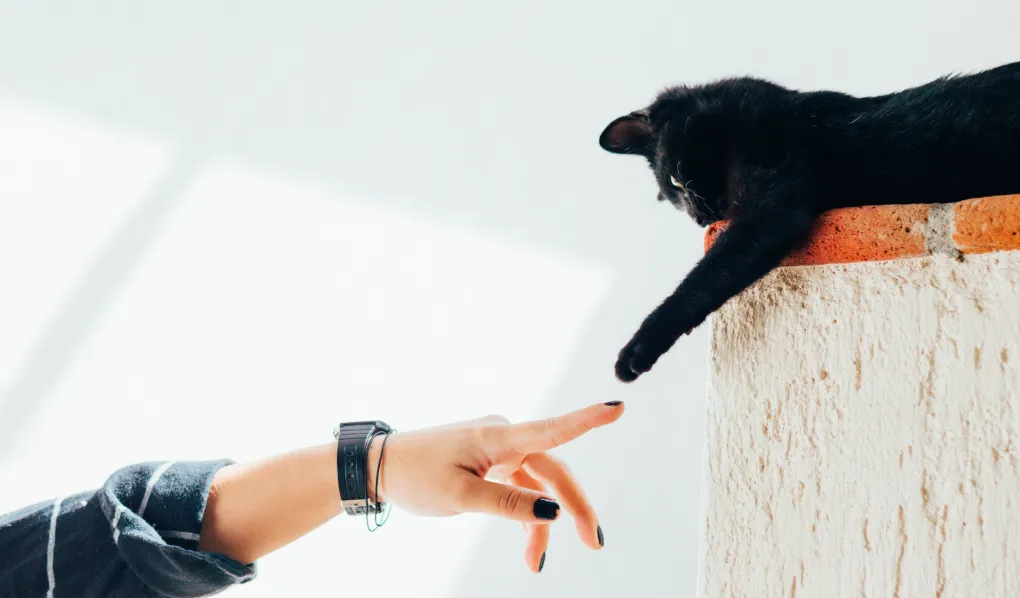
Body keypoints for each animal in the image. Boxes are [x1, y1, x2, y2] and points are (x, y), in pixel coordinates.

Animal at [599, 61, 1015, 381]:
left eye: (676, 180)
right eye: (671, 193)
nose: (701, 219)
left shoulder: (771, 208)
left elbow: (703, 279)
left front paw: (636, 350)